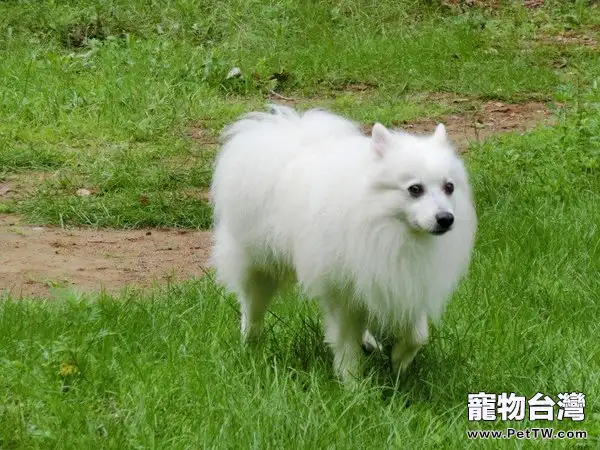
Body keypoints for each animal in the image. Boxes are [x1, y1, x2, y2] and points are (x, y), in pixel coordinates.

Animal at [211, 104, 478, 384]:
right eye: (415, 189)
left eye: (449, 187)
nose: (446, 218)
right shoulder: (343, 292)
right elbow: (346, 343)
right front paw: (352, 384)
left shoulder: (404, 282)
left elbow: (417, 335)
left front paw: (399, 362)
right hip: (259, 268)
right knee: (251, 309)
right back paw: (250, 345)